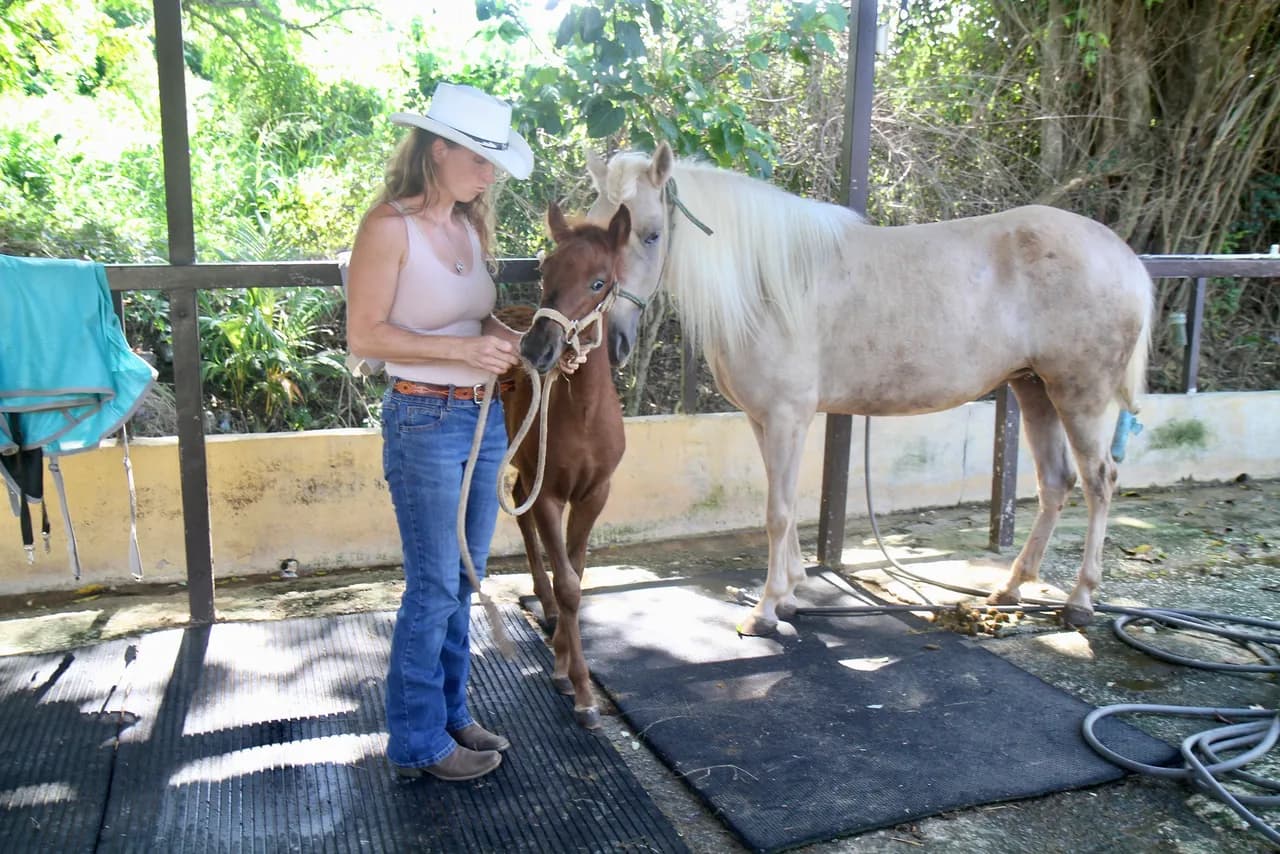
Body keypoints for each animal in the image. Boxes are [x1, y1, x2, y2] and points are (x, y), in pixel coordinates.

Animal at [493, 201, 631, 729]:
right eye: (545, 271)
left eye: (598, 281)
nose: (537, 350)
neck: (585, 416)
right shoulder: (550, 492)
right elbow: (566, 582)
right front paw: (579, 687)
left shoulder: (595, 494)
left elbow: (577, 571)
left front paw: (565, 661)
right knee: (519, 514)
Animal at [582, 142, 1153, 635]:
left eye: (652, 234)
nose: (610, 342)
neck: (769, 284)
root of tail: (1124, 256)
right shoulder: (764, 419)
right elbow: (783, 503)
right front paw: (789, 594)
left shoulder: (787, 416)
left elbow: (778, 513)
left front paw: (766, 610)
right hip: (1034, 388)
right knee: (1056, 482)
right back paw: (1010, 588)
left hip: (1079, 395)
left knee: (1099, 481)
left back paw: (1080, 601)